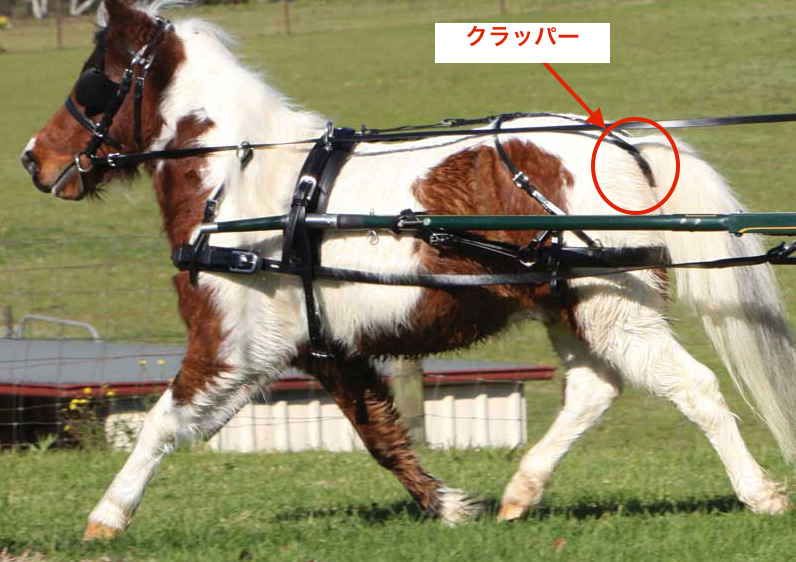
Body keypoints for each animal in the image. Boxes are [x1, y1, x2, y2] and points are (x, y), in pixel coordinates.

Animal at [21, 0, 796, 540]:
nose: (34, 159)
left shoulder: (227, 348)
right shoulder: (320, 349)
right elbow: (381, 437)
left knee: (691, 388)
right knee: (592, 390)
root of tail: (624, 144)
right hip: (570, 304)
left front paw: (105, 518)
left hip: (610, 305)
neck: (240, 184)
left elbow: (161, 425)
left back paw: (759, 493)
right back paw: (521, 492)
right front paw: (448, 506)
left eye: (95, 80)